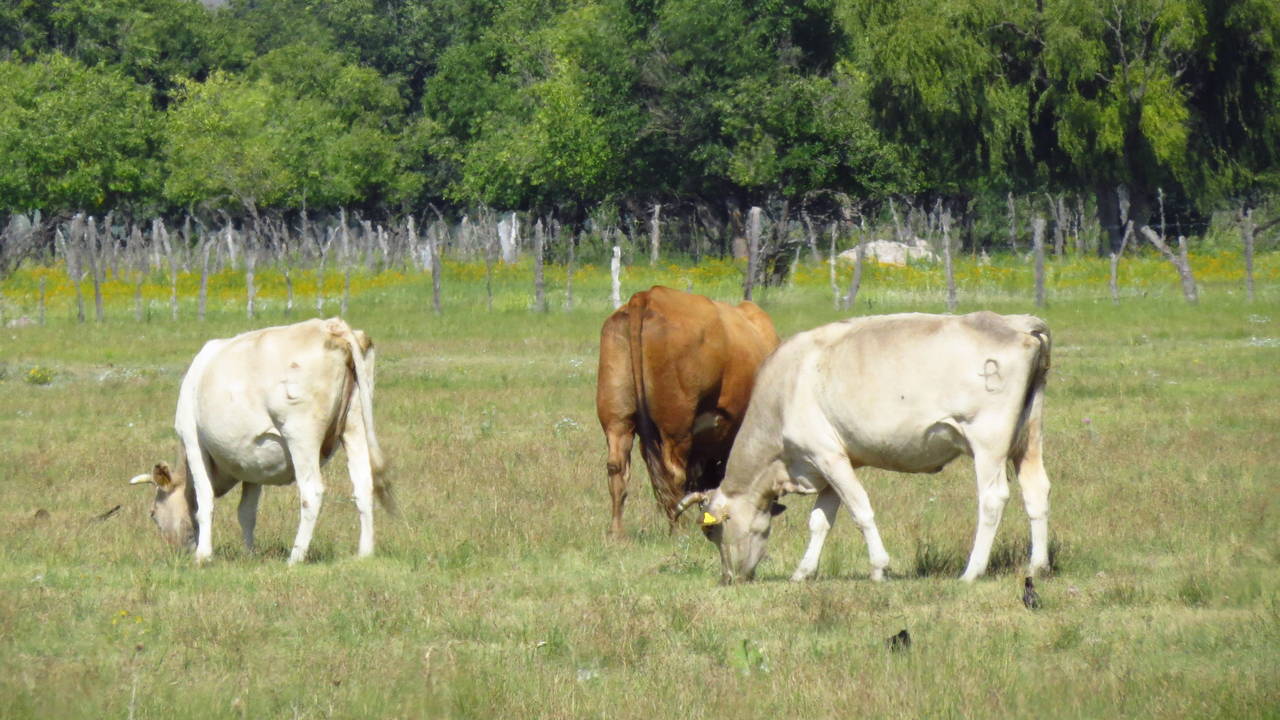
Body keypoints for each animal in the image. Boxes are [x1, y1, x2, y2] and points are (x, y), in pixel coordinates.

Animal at [128, 317, 394, 564]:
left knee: (312, 492)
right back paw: (364, 553)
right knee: (363, 485)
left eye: (153, 513)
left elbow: (205, 501)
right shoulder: (252, 463)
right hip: (355, 425)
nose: (178, 552)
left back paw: (295, 557)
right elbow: (246, 512)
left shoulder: (193, 440)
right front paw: (249, 554)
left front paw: (203, 556)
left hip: (301, 434)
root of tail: (331, 326)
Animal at [596, 286, 779, 537]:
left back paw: (617, 532)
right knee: (673, 474)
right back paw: (678, 530)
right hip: (675, 429)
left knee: (618, 468)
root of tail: (647, 296)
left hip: (617, 420)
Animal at [676, 311, 1052, 584]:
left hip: (987, 440)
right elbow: (820, 521)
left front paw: (879, 568)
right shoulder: (829, 464)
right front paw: (803, 573)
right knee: (1036, 490)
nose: (729, 578)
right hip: (1028, 437)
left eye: (711, 531)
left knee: (992, 499)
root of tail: (1016, 323)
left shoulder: (827, 455)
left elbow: (860, 510)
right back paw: (1037, 565)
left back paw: (971, 572)